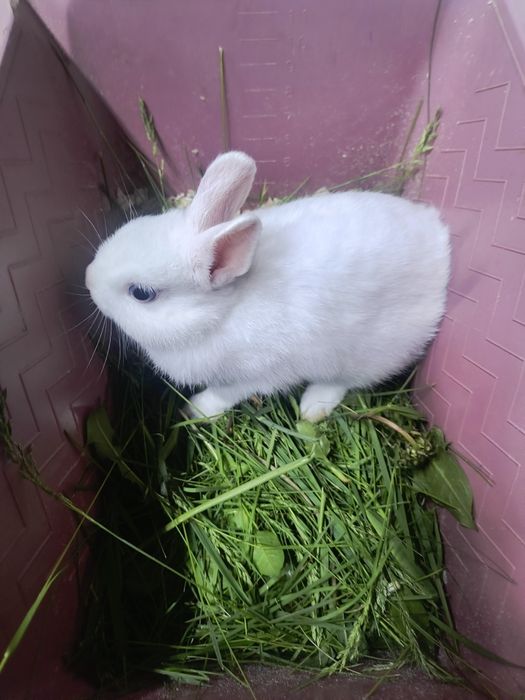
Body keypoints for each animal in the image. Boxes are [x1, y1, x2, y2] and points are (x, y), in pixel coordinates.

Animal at [85, 151, 450, 422]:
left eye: (141, 293)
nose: (88, 279)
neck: (221, 313)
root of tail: (440, 239)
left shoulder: (251, 377)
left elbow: (222, 396)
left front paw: (194, 410)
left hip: (366, 353)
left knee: (343, 381)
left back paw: (312, 407)